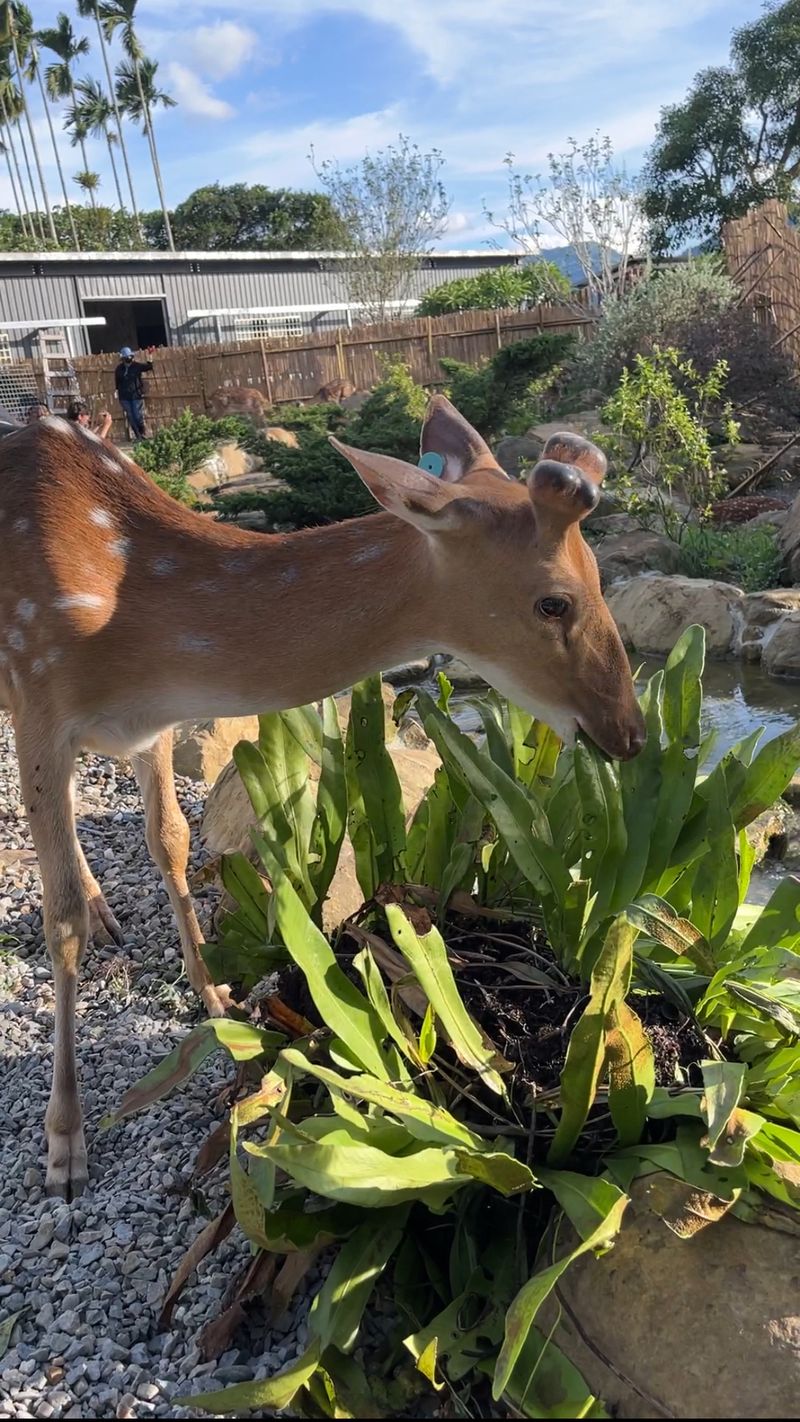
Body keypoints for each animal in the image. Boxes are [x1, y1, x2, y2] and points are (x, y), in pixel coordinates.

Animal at [0, 397, 644, 1201]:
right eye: (554, 602)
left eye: (602, 576)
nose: (629, 732)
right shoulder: (39, 696)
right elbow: (59, 926)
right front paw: (64, 1146)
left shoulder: (153, 727)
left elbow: (171, 842)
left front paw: (215, 998)